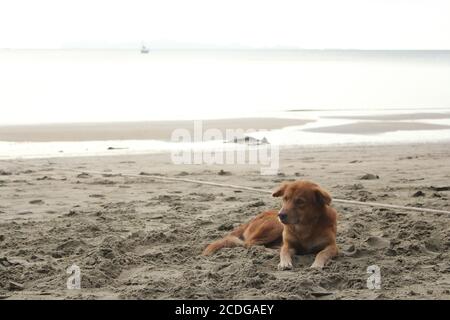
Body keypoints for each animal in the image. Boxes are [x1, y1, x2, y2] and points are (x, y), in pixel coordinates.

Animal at [203, 181, 338, 268]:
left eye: (300, 201)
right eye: (285, 198)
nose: (281, 215)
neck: (304, 227)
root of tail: (252, 219)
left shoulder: (332, 247)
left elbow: (321, 253)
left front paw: (317, 264)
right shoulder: (288, 244)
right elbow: (284, 251)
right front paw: (284, 262)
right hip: (275, 226)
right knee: (250, 244)